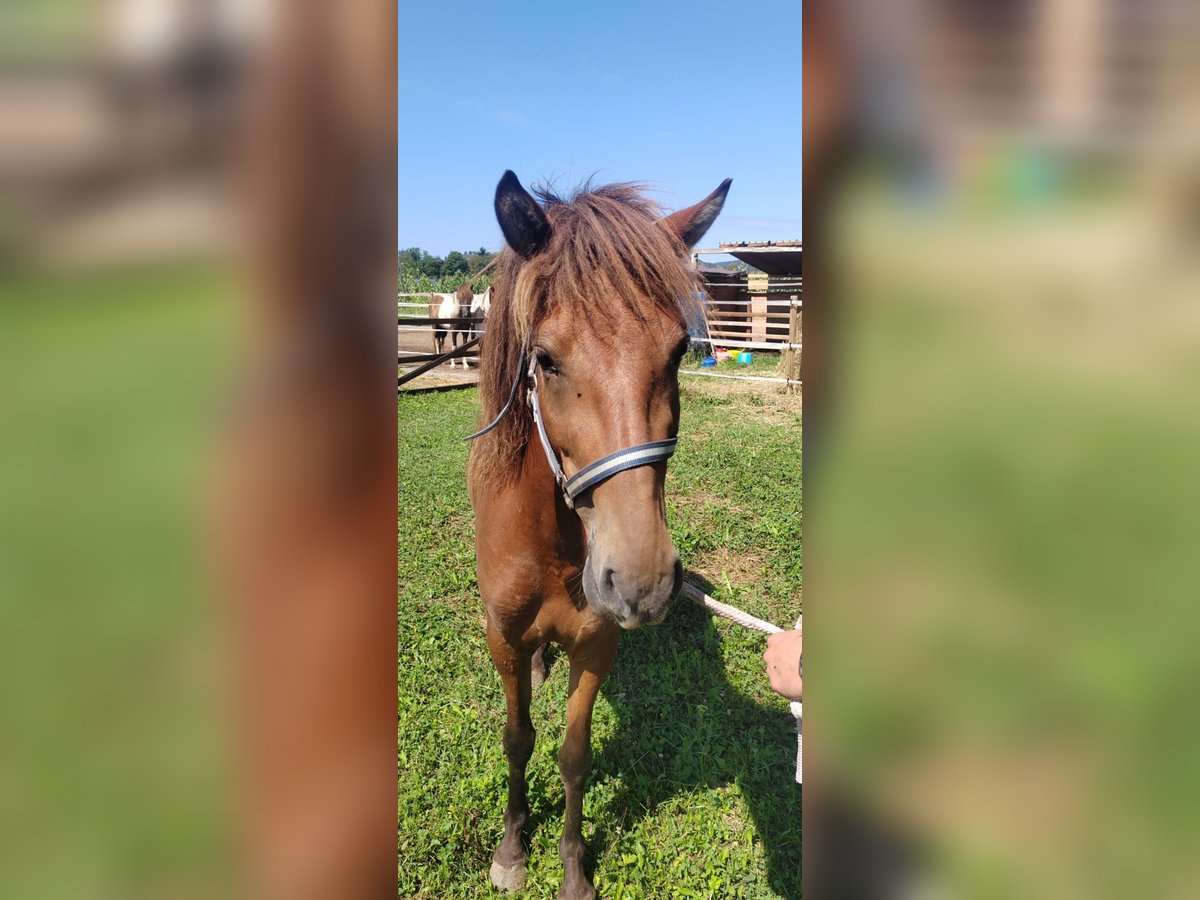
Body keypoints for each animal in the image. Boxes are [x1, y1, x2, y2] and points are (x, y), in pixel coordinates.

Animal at [468, 170, 729, 900]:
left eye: (678, 351)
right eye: (546, 361)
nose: (642, 581)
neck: (553, 545)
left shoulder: (599, 643)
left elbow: (574, 754)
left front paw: (573, 867)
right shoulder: (502, 636)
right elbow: (518, 737)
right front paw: (511, 849)